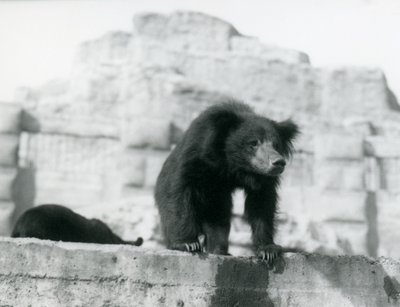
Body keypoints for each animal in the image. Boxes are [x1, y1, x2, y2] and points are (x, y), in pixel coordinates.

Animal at [155, 101, 298, 264]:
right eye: (253, 143)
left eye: (276, 145)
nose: (278, 162)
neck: (233, 164)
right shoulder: (196, 153)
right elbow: (179, 191)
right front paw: (187, 243)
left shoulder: (262, 179)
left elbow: (262, 203)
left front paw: (268, 250)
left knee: (219, 220)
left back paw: (219, 250)